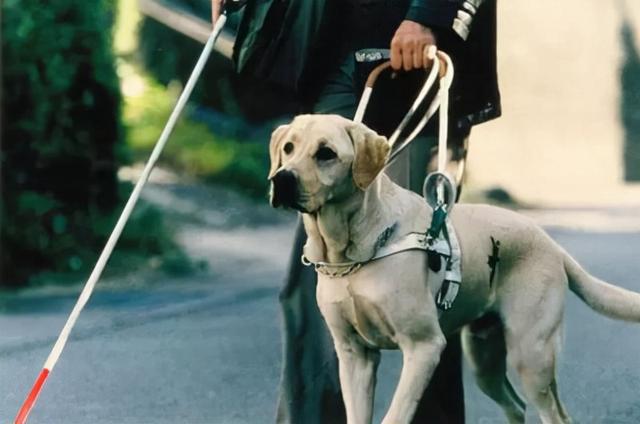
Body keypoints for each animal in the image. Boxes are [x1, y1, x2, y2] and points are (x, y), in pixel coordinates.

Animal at [268, 114, 640, 422]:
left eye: (326, 153)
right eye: (289, 148)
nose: (281, 180)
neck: (351, 254)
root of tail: (552, 245)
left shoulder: (423, 347)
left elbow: (395, 415)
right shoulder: (355, 356)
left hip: (532, 356)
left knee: (557, 416)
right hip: (484, 360)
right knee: (516, 406)